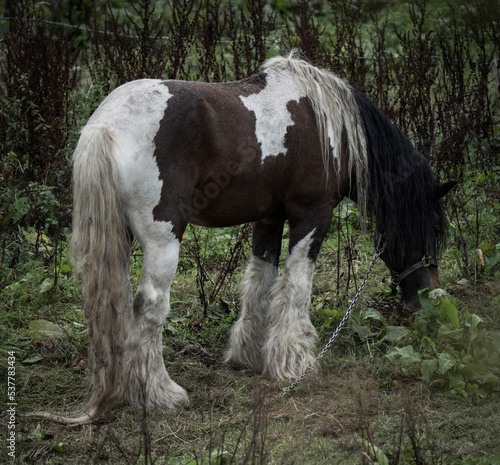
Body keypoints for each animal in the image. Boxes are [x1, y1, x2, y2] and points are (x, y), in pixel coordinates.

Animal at [63, 52, 458, 422]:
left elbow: (261, 281)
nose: (429, 299)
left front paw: (250, 356)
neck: (330, 129)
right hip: (163, 241)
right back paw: (160, 393)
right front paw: (295, 362)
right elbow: (296, 286)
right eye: (435, 228)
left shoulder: (269, 218)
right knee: (150, 305)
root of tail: (107, 124)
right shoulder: (312, 215)